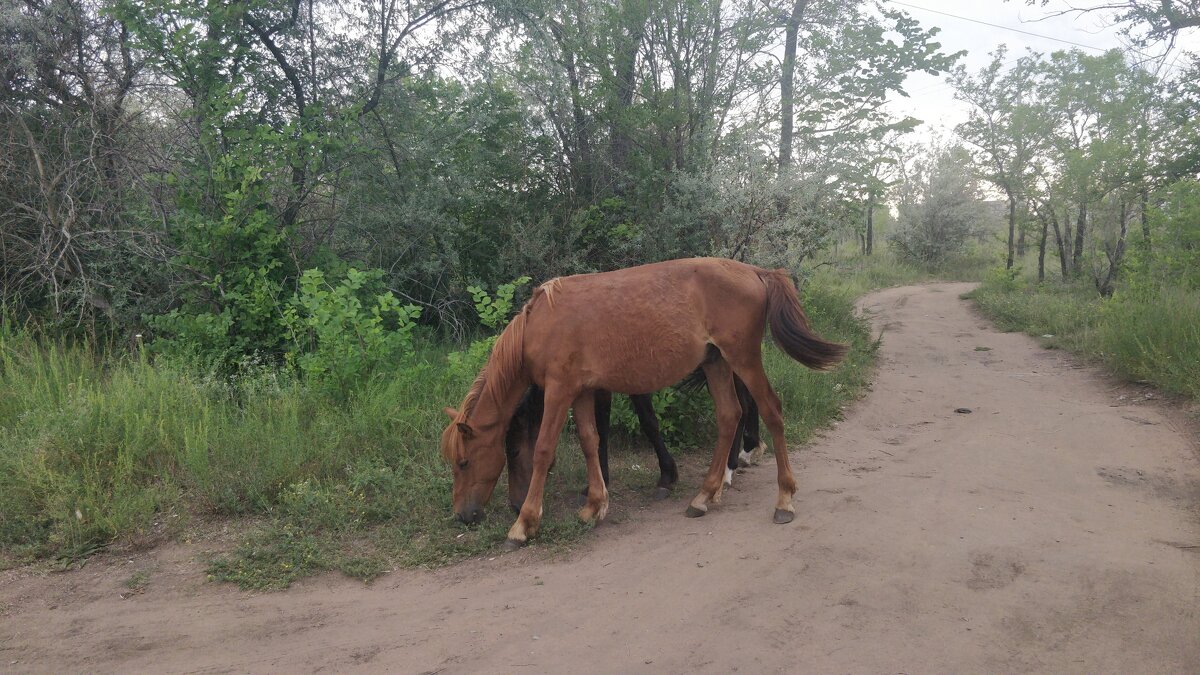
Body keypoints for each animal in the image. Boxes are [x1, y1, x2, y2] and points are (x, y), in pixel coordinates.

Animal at [504, 379, 763, 509]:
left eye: (514, 451)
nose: (516, 505)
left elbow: (647, 420)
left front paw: (667, 477)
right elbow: (601, 429)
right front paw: (600, 482)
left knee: (741, 405)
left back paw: (729, 468)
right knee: (748, 400)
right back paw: (747, 451)